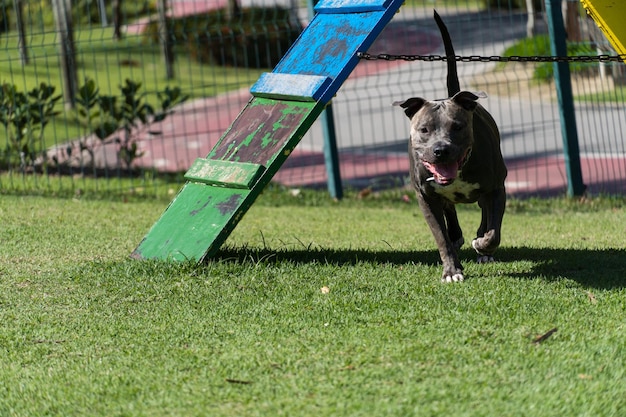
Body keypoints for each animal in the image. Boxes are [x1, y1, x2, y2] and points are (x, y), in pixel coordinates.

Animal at [394, 10, 508, 282]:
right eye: (424, 129)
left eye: (457, 126)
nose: (440, 150)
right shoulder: (425, 197)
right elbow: (440, 236)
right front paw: (452, 270)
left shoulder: (497, 188)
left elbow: (494, 232)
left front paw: (483, 245)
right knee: (450, 212)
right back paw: (457, 237)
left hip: (486, 192)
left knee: (484, 213)